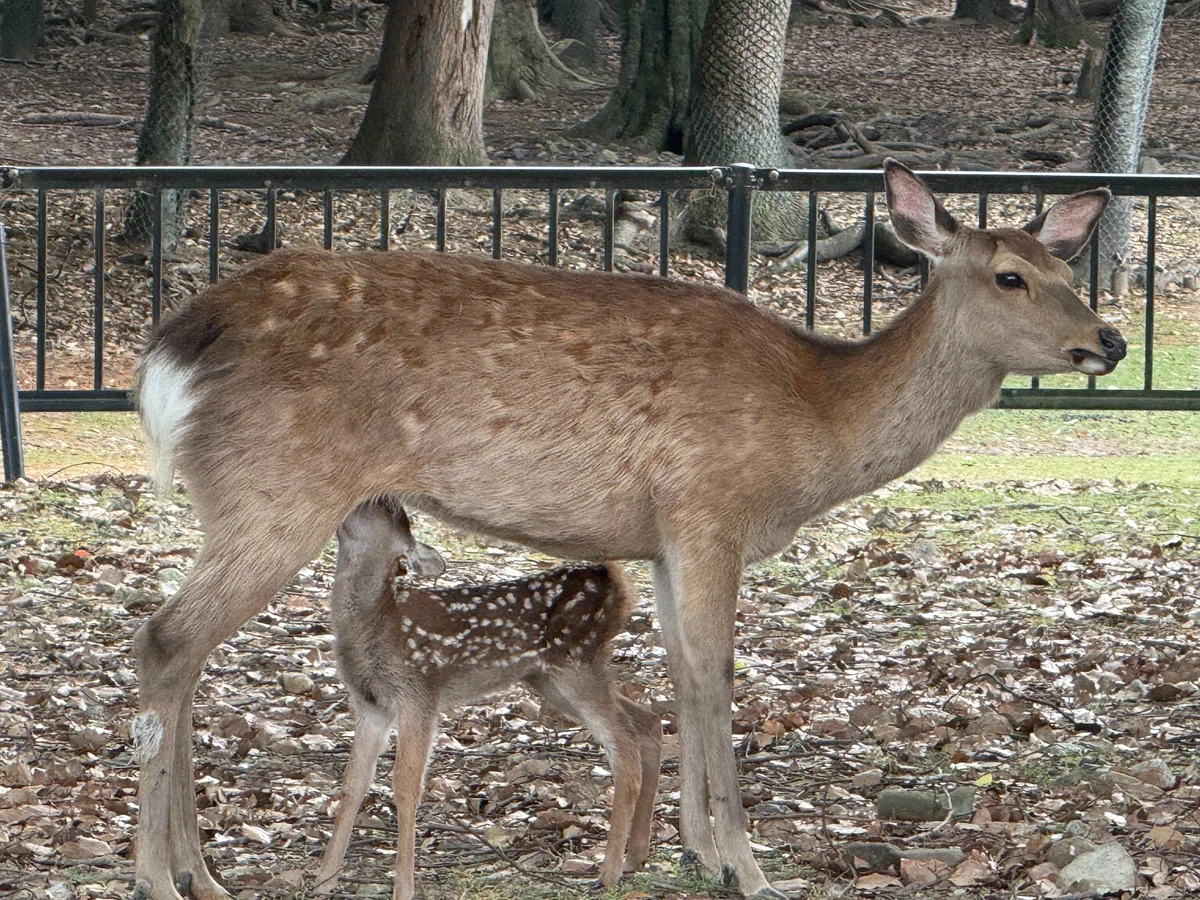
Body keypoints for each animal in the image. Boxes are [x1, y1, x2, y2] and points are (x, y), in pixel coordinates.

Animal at [310, 497, 662, 898]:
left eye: (386, 507)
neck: (378, 619)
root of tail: (618, 583)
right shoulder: (370, 704)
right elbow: (352, 784)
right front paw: (324, 879)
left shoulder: (419, 691)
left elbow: (406, 785)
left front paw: (403, 887)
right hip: (551, 679)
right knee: (648, 721)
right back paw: (635, 857)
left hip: (577, 664)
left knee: (625, 749)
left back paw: (609, 872)